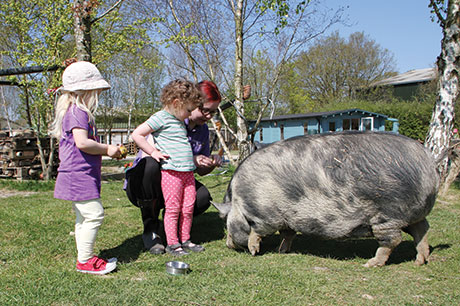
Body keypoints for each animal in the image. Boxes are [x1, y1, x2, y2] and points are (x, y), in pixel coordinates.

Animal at [214, 130, 440, 266]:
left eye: (226, 222)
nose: (228, 245)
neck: (240, 201)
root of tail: (428, 161)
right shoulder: (287, 218)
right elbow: (288, 234)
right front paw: (281, 251)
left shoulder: (267, 215)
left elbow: (258, 232)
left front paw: (254, 250)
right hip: (410, 213)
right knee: (423, 229)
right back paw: (420, 261)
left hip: (389, 215)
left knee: (393, 240)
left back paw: (370, 264)